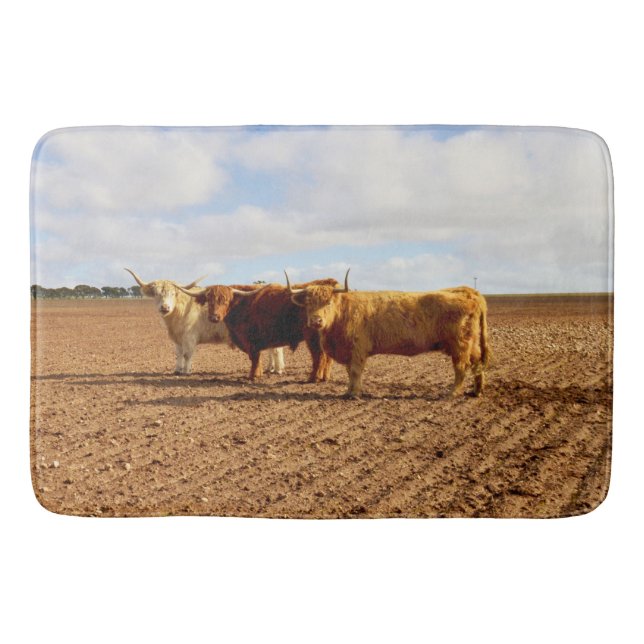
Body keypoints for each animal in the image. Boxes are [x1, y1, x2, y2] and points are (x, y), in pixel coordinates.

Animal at [125, 268, 285, 375]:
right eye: (156, 294)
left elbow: (187, 354)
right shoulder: (178, 339)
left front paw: (187, 371)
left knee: (276, 350)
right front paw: (177, 370)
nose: (165, 307)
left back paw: (278, 370)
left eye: (173, 293)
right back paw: (271, 368)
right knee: (273, 349)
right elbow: (178, 354)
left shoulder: (189, 337)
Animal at [178, 278, 339, 382]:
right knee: (327, 357)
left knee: (319, 356)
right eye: (209, 300)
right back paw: (325, 377)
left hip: (312, 336)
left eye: (225, 300)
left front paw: (252, 376)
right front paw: (259, 373)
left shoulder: (251, 341)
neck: (241, 306)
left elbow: (255, 358)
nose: (214, 317)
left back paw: (314, 378)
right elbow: (257, 359)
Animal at [286, 270, 490, 398]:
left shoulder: (358, 349)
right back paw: (476, 391)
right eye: (308, 304)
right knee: (477, 363)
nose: (316, 321)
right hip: (470, 344)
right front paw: (349, 391)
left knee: (461, 367)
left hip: (459, 344)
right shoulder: (349, 351)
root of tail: (469, 292)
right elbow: (350, 372)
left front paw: (354, 394)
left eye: (328, 302)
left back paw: (452, 393)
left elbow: (355, 371)